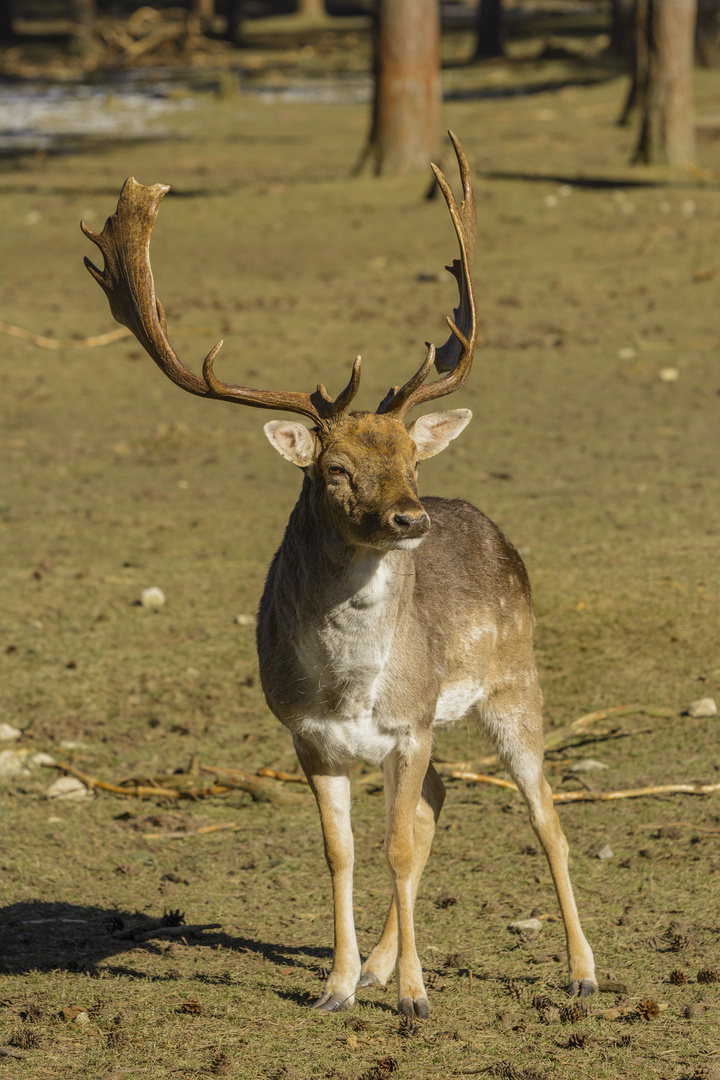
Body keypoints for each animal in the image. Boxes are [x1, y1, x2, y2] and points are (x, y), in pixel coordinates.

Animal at [83, 130, 595, 1015]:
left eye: (412, 461)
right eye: (335, 471)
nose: (411, 519)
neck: (348, 687)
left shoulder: (411, 723)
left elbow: (394, 849)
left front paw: (416, 997)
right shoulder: (306, 735)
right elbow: (344, 852)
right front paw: (340, 984)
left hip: (514, 682)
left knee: (545, 816)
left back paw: (582, 970)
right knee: (439, 801)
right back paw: (386, 964)